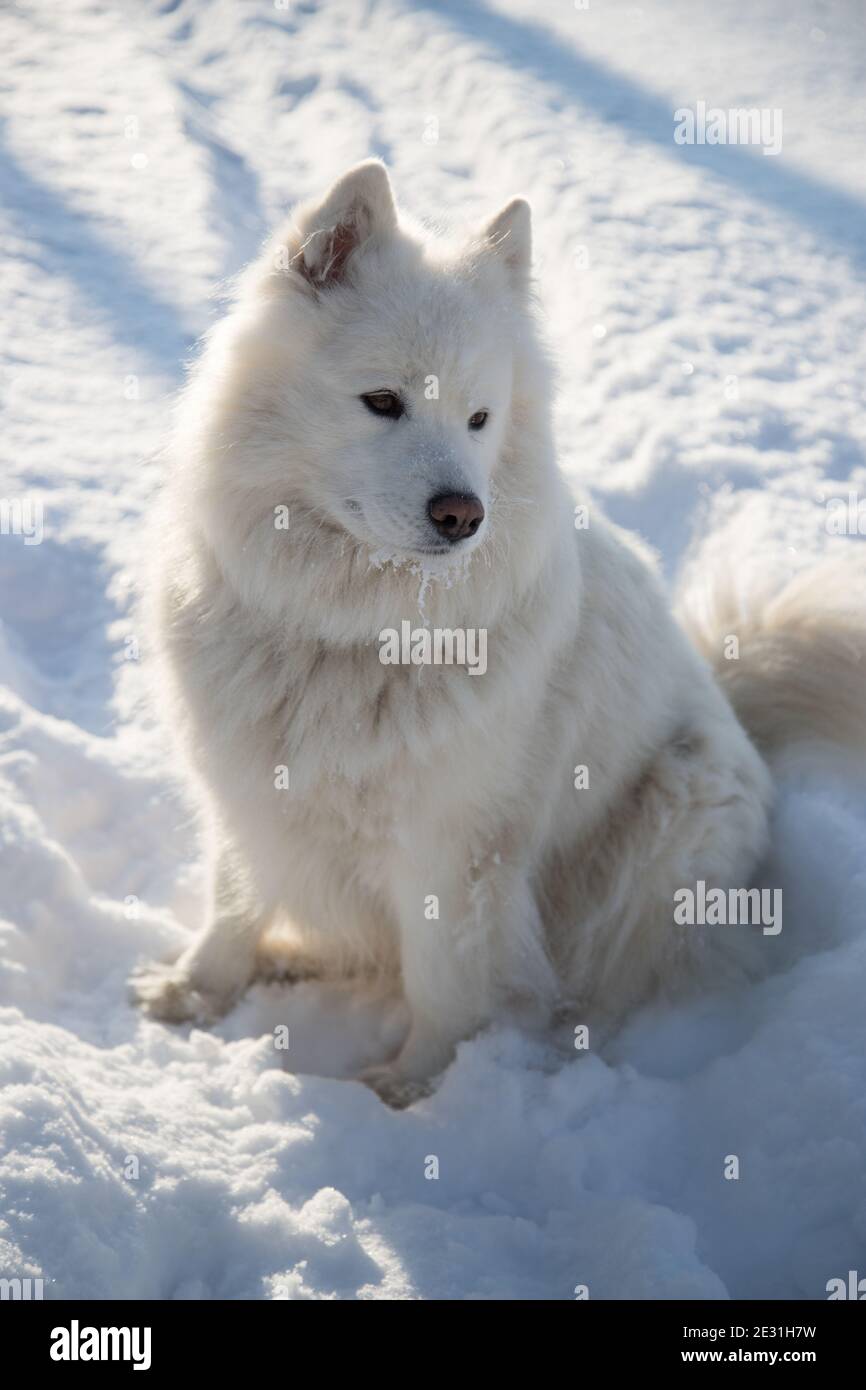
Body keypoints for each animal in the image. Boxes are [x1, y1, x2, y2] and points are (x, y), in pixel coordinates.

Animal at [130, 157, 866, 1100]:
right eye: (383, 401)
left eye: (480, 419)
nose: (462, 515)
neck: (349, 629)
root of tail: (740, 714)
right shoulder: (249, 792)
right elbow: (233, 903)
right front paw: (195, 994)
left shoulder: (455, 848)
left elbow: (445, 980)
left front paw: (411, 1091)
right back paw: (291, 957)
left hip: (666, 816)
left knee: (596, 982)